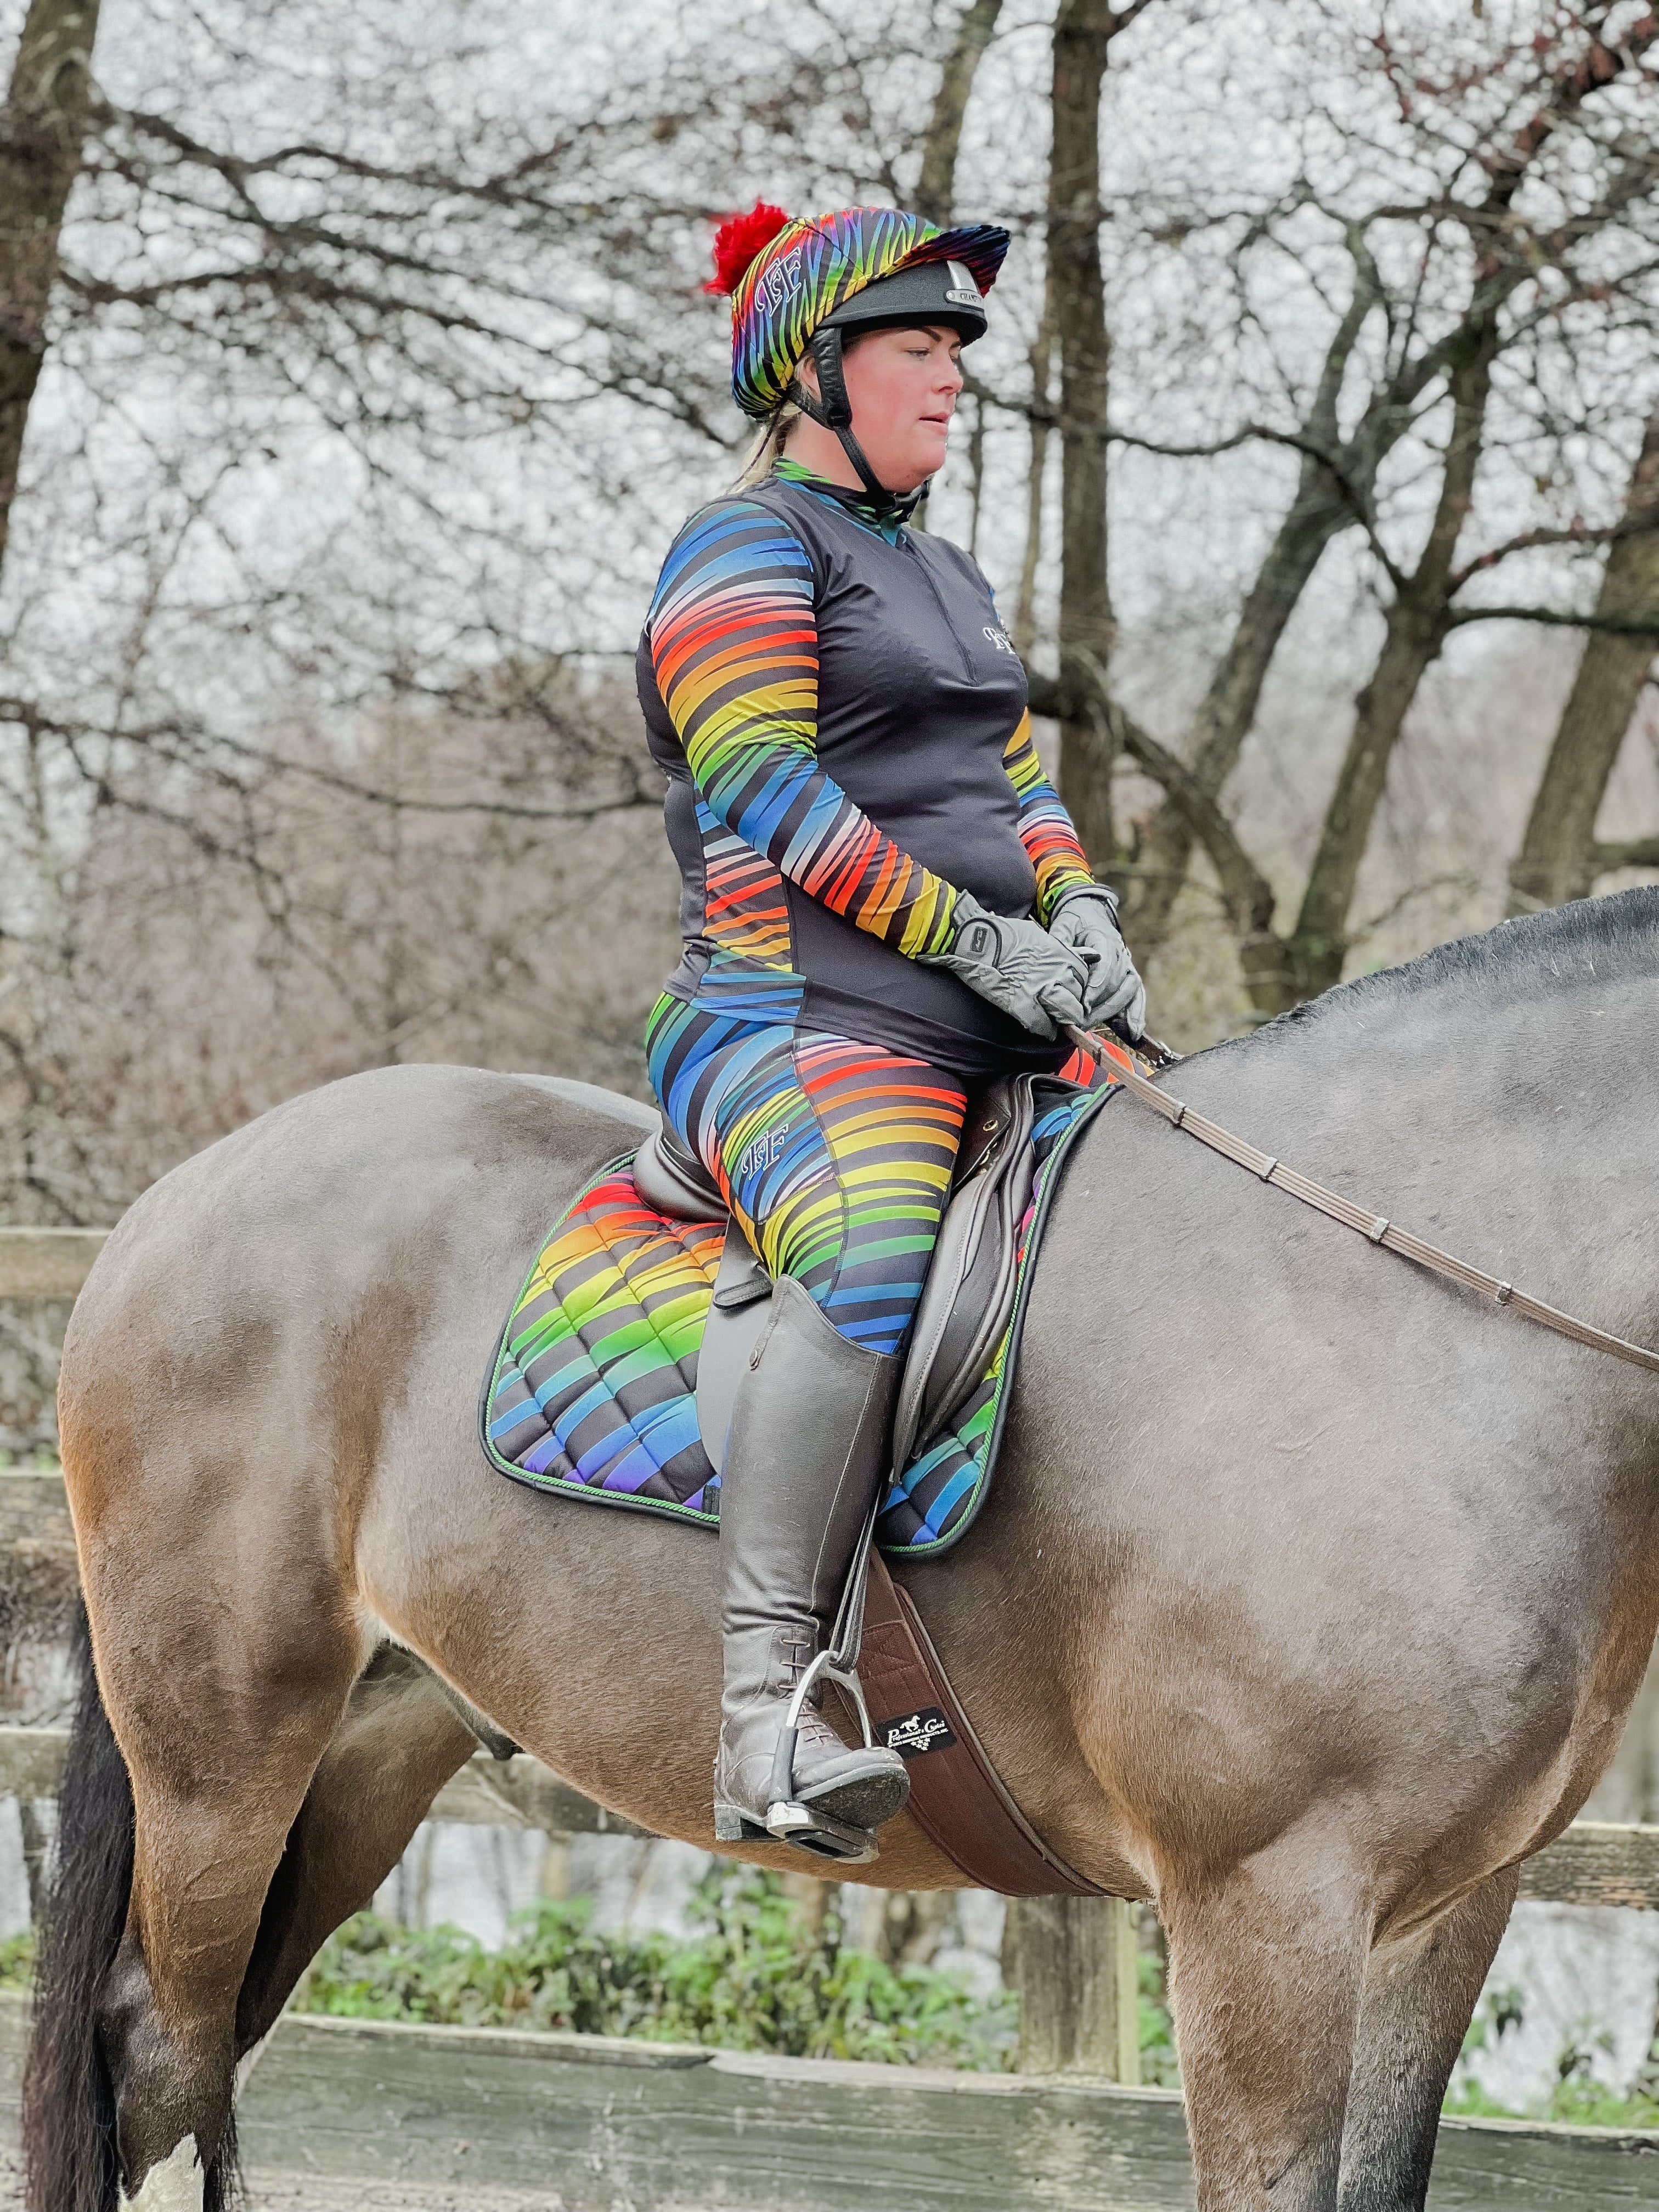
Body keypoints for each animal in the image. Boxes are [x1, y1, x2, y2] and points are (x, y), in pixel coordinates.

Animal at [22, 884, 1659, 2212]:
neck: (1399, 1307)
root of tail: (184, 1193)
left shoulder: (1442, 1916)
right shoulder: (1268, 1908)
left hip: (366, 1755)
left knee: (203, 2071)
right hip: (219, 1759)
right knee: (154, 2062)